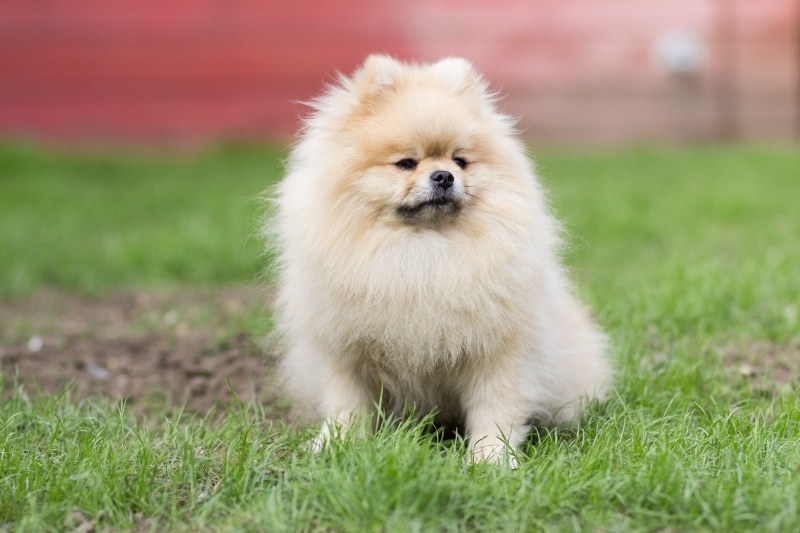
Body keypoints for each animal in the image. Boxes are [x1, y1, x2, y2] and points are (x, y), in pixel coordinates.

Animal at [270, 53, 612, 462]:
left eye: (460, 161)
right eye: (406, 163)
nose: (444, 176)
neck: (424, 252)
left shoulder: (498, 351)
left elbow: (495, 408)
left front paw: (491, 458)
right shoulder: (345, 349)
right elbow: (346, 404)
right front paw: (335, 444)